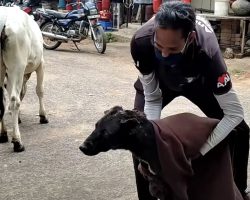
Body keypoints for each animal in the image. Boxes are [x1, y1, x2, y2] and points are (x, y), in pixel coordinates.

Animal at [0, 7, 48, 152]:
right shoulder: (41, 64)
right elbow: (40, 90)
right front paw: (43, 116)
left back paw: (3, 134)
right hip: (17, 65)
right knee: (14, 101)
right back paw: (17, 142)